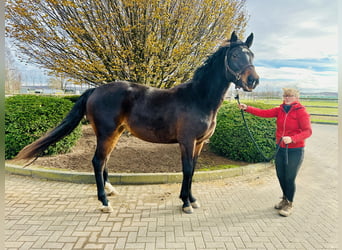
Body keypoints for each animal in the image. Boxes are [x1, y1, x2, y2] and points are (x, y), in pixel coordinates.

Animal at [14, 31, 258, 213]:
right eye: (235, 56)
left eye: (252, 55)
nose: (253, 81)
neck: (198, 97)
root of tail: (95, 90)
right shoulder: (187, 141)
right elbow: (187, 169)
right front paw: (186, 203)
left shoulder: (199, 143)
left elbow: (193, 169)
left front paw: (192, 198)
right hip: (107, 133)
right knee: (97, 161)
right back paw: (104, 203)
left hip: (114, 133)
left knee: (104, 160)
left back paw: (110, 190)